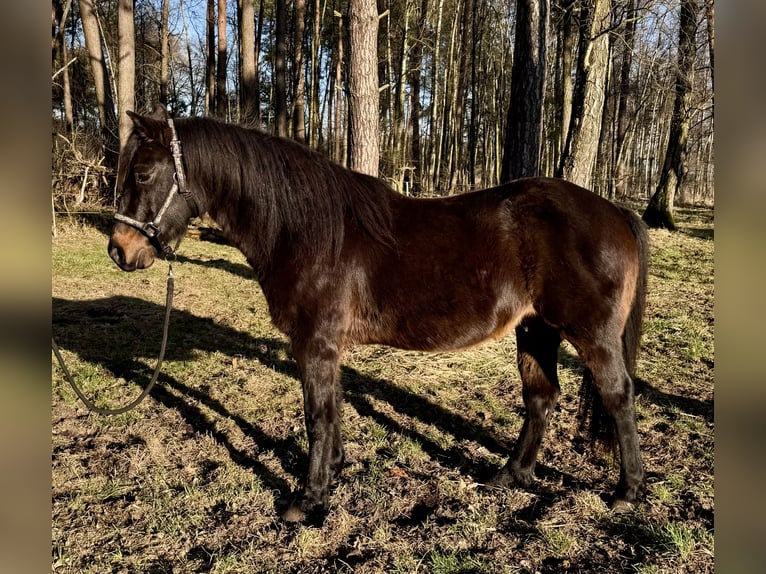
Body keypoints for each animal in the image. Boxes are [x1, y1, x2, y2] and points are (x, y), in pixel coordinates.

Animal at [108, 103, 649, 523]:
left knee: (618, 396)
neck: (302, 229)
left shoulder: (315, 344)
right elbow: (332, 408)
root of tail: (616, 211)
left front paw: (308, 500)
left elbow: (317, 415)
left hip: (591, 334)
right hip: (536, 329)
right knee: (541, 397)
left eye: (142, 174)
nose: (120, 250)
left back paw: (626, 492)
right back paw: (510, 475)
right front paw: (333, 472)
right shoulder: (324, 348)